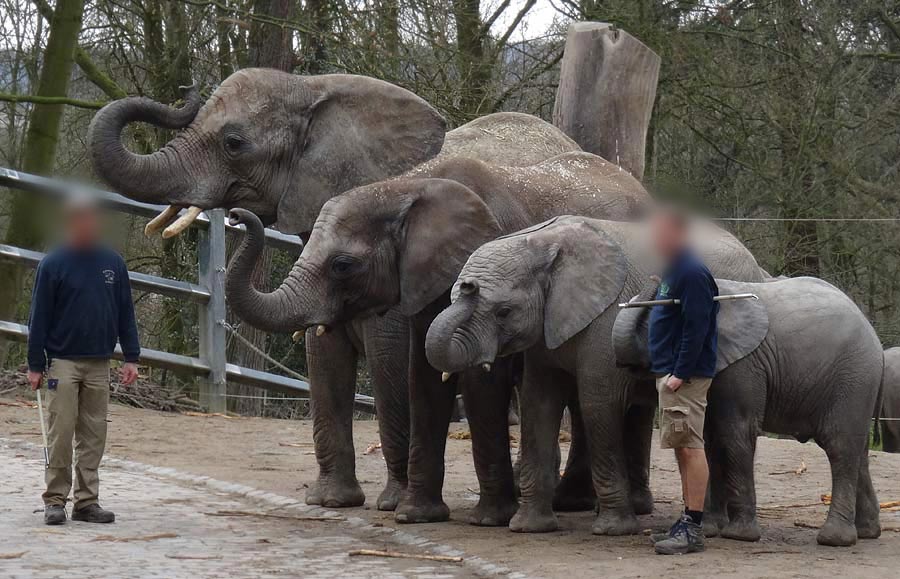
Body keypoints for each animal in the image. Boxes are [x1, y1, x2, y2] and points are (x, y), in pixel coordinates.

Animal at [88, 69, 580, 512]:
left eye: (234, 143)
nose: (186, 88)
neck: (314, 87)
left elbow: (389, 360)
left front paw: (392, 503)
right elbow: (321, 354)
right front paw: (330, 501)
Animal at [424, 219, 768, 540]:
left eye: (504, 311)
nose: (468, 285)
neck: (540, 243)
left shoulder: (606, 315)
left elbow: (597, 402)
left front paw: (612, 529)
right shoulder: (549, 326)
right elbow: (539, 403)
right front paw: (529, 528)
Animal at [616, 276, 884, 548]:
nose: (655, 278)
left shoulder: (743, 365)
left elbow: (736, 434)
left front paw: (739, 535)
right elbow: (711, 442)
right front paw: (711, 530)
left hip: (853, 378)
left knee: (840, 446)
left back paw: (834, 539)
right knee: (859, 452)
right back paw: (867, 532)